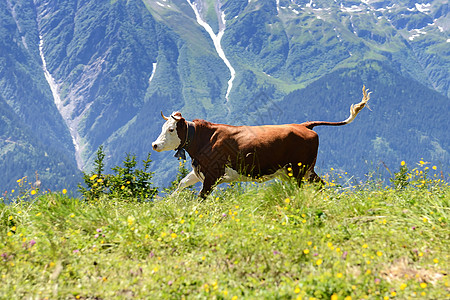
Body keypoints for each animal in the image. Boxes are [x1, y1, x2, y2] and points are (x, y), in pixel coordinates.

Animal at [153, 85, 370, 198]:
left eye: (171, 129)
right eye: (162, 128)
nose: (155, 145)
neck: (204, 139)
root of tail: (304, 125)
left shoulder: (213, 173)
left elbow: (201, 197)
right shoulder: (201, 171)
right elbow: (182, 183)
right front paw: (168, 202)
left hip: (299, 170)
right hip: (302, 170)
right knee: (321, 184)